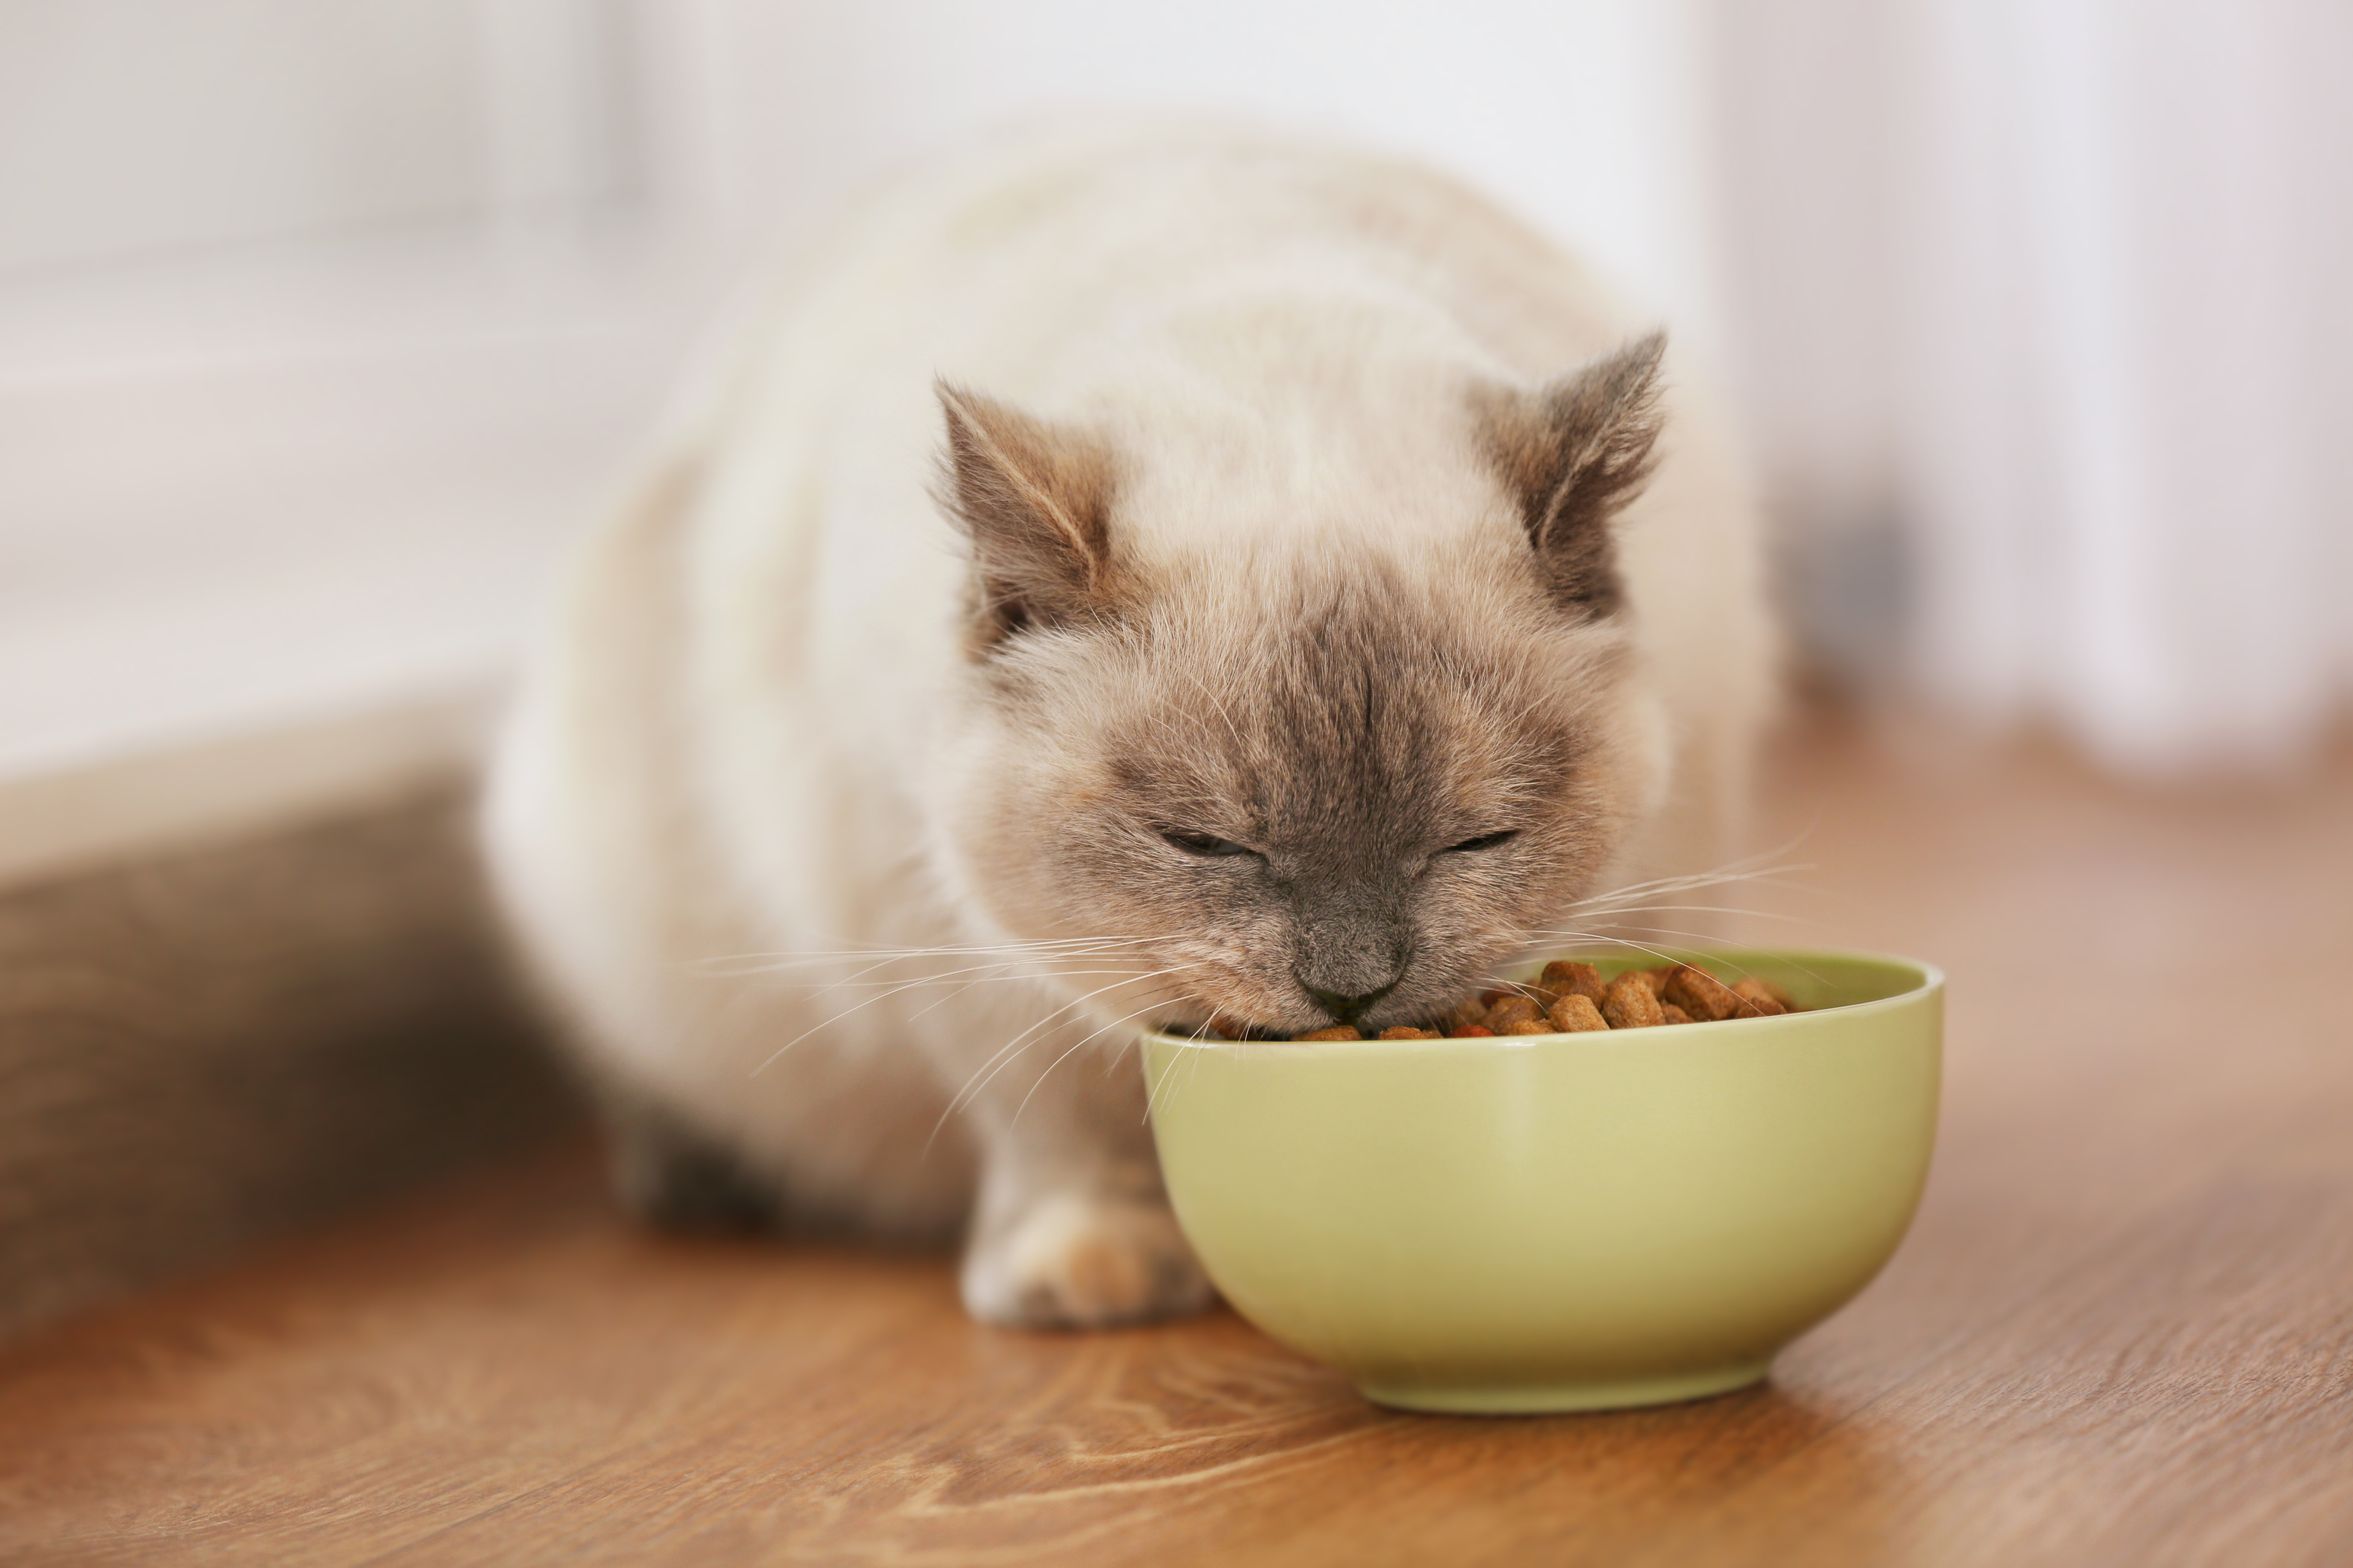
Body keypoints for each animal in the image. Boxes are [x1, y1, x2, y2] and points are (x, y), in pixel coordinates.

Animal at [487, 118, 1769, 1318]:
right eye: (1204, 844)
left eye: (1477, 840)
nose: (1351, 992)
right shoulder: (950, 940)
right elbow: (1061, 1121)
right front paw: (1101, 1274)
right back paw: (690, 1180)